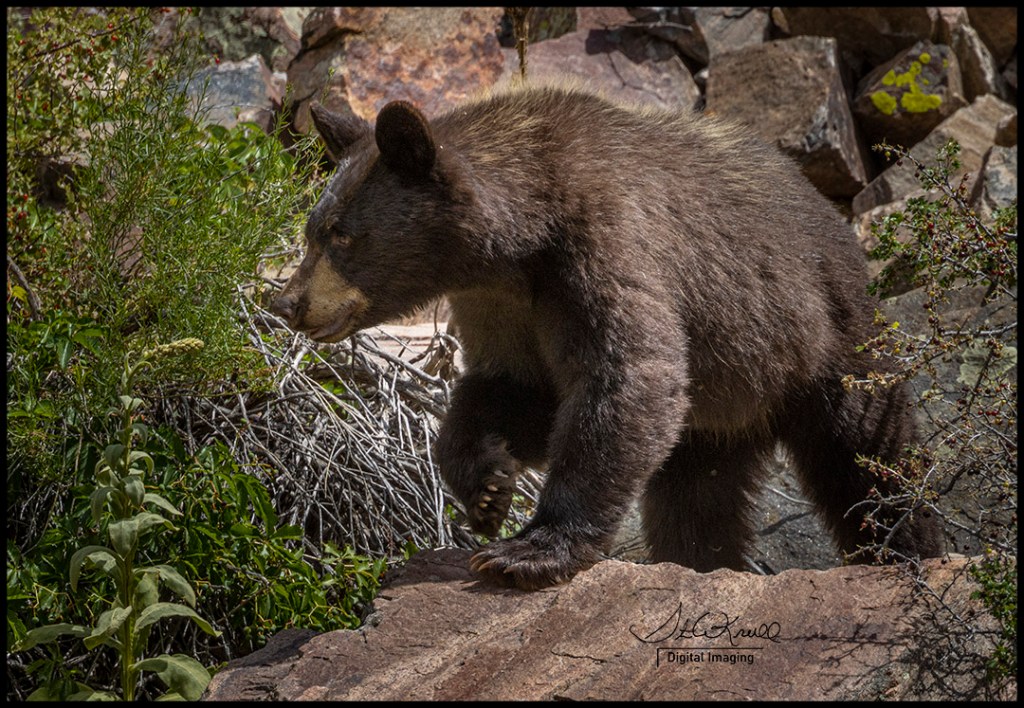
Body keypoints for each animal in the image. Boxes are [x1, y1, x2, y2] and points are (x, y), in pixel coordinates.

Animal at [271, 81, 942, 590]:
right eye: (313, 228)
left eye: (343, 234)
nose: (288, 303)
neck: (521, 240)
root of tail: (838, 223)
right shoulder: (503, 306)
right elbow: (516, 390)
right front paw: (486, 488)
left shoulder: (606, 246)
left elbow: (626, 378)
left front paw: (529, 550)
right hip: (718, 410)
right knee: (695, 502)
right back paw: (703, 564)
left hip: (822, 336)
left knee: (869, 453)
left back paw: (907, 548)